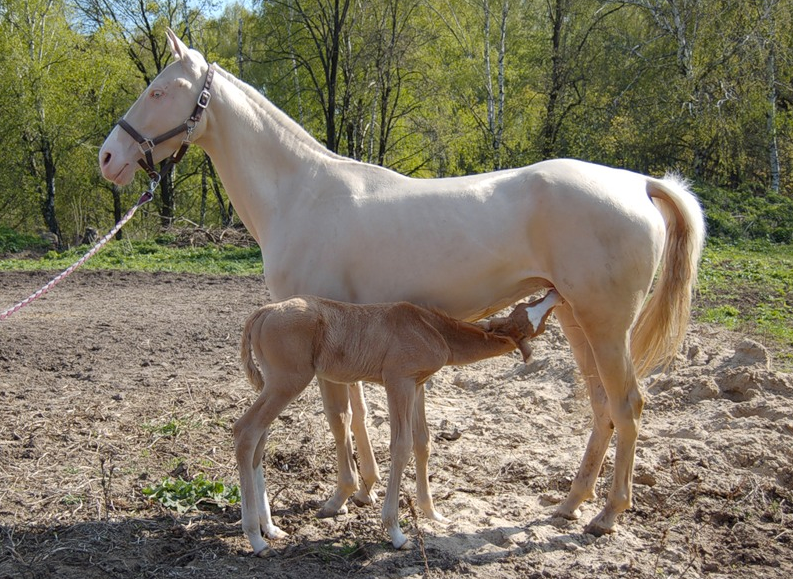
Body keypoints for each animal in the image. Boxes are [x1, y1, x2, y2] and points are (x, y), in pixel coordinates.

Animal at [232, 292, 560, 556]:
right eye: (533, 314)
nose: (555, 294)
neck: (432, 329)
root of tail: (262, 313)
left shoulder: (417, 384)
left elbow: (423, 442)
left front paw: (432, 513)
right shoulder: (398, 381)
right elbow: (401, 446)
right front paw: (396, 532)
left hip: (275, 383)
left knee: (259, 439)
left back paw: (270, 528)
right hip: (288, 381)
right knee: (245, 430)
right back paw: (256, 539)